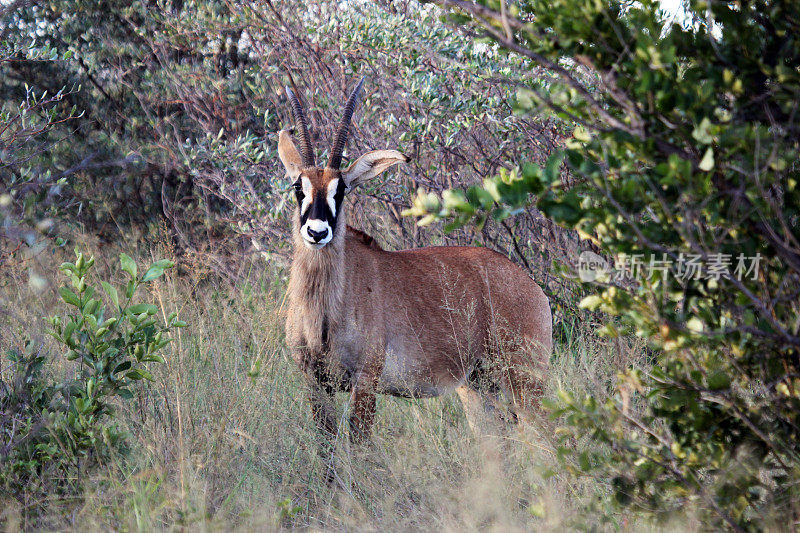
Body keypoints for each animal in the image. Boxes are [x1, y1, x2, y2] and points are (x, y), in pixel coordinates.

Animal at [280, 79, 552, 458]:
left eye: (342, 188)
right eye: (298, 186)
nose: (317, 232)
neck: (323, 310)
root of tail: (532, 287)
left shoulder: (365, 380)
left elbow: (360, 451)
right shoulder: (315, 383)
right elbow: (327, 455)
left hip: (525, 380)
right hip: (480, 388)